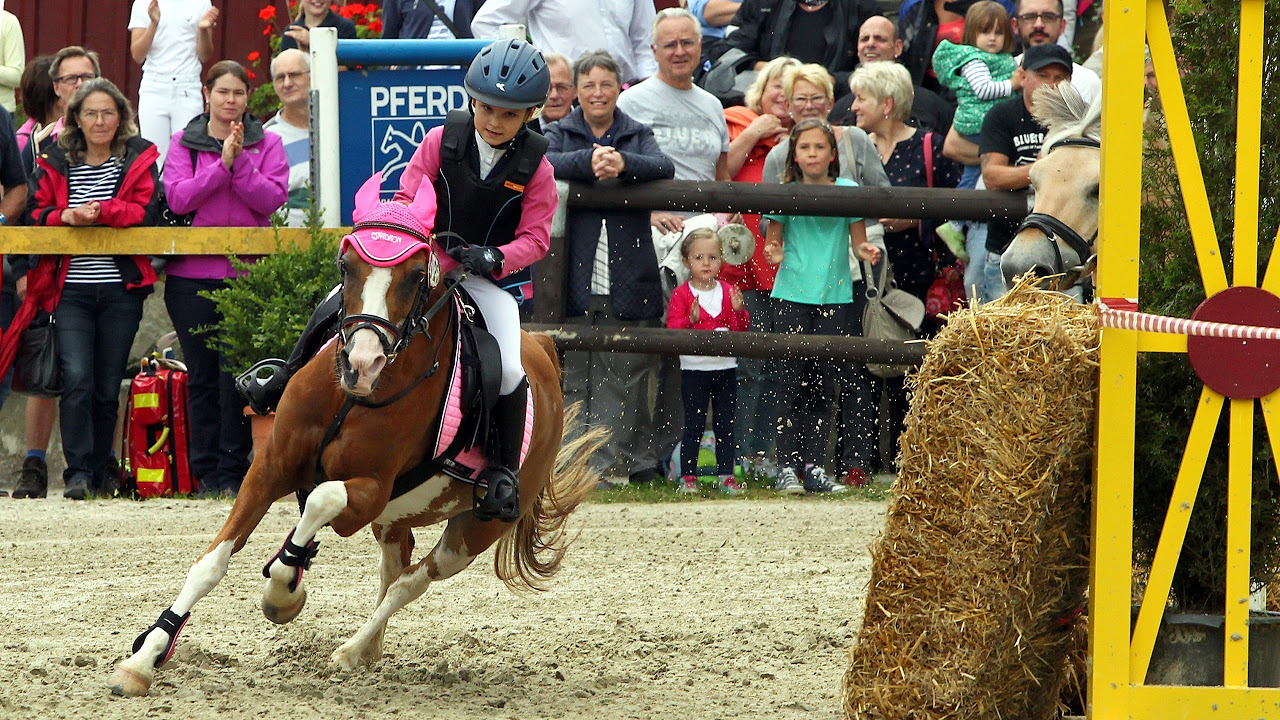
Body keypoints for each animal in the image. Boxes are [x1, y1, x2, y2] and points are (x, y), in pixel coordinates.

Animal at [107, 175, 601, 696]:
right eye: (347, 267)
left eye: (415, 276)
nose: (361, 365)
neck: (352, 398)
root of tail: (542, 348)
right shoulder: (270, 467)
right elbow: (211, 564)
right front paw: (142, 660)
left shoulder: (369, 490)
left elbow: (322, 500)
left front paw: (283, 590)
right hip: (395, 515)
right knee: (395, 566)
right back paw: (367, 651)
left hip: (476, 528)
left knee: (411, 580)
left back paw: (349, 650)